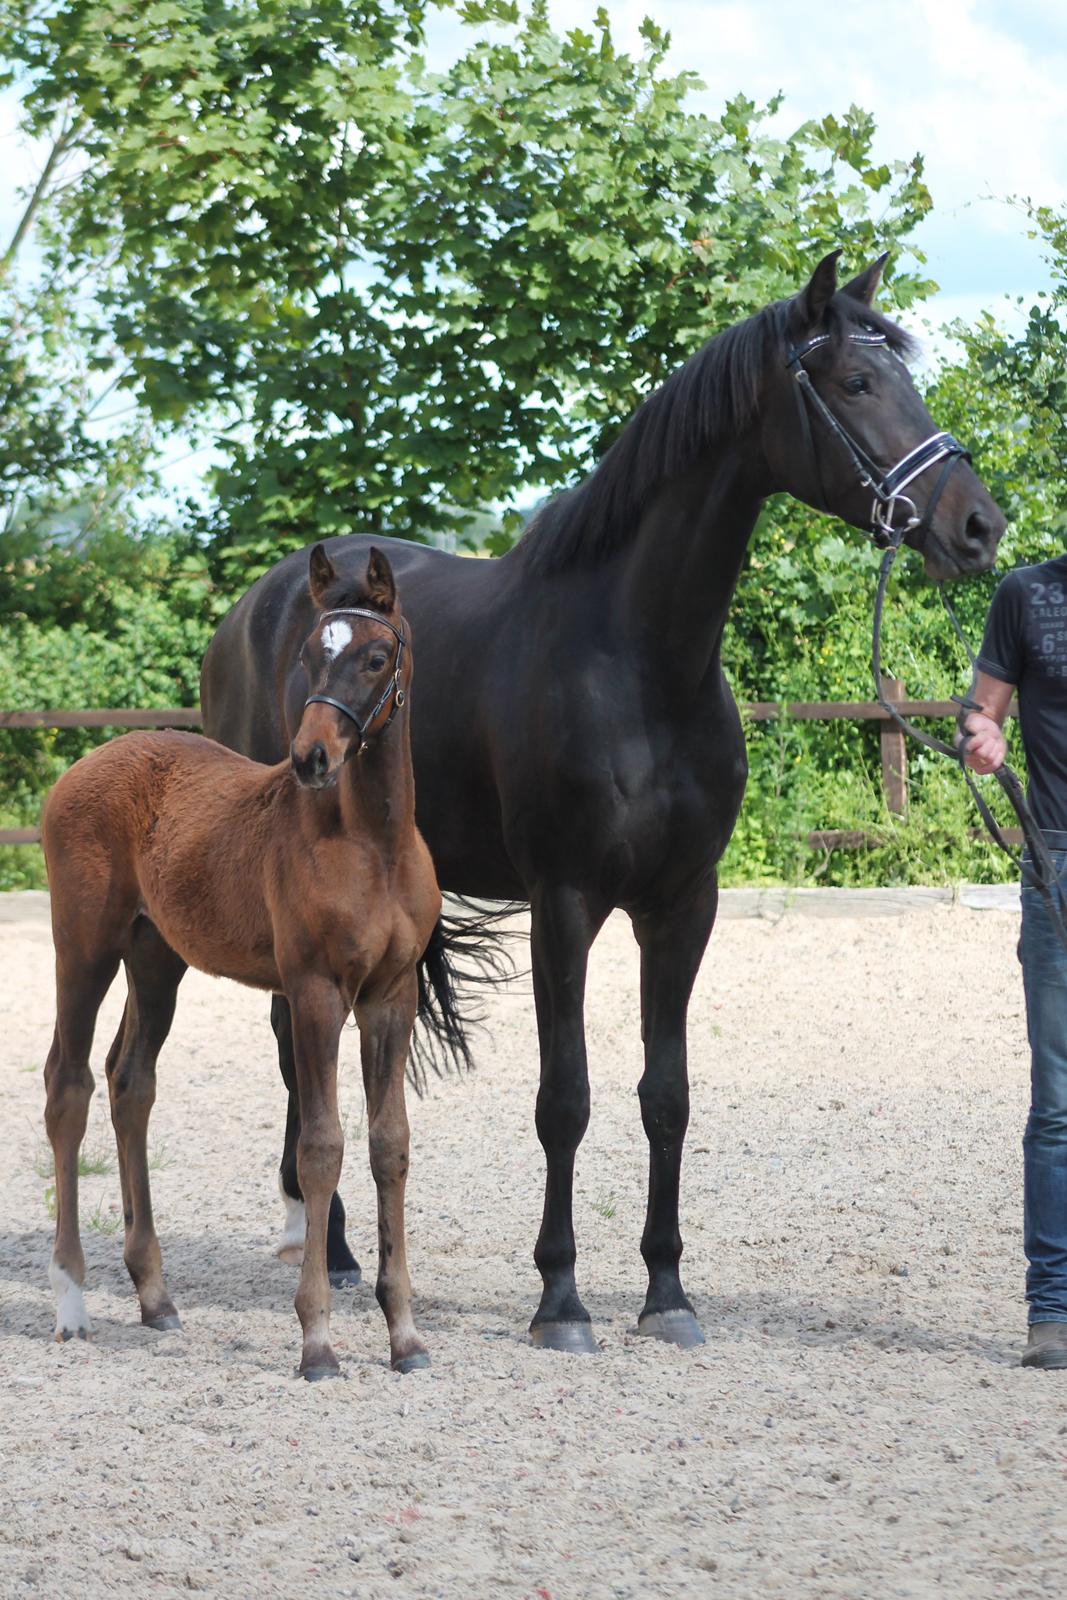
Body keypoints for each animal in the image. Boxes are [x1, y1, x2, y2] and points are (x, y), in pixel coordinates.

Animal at [39, 547, 435, 1376]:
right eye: (309, 652)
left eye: (374, 657)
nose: (311, 757)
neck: (373, 844)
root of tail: (89, 762)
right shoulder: (315, 991)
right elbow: (320, 1147)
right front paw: (316, 1340)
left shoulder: (392, 996)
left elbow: (390, 1146)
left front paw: (405, 1336)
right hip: (84, 945)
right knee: (69, 1086)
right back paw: (72, 1302)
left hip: (155, 956)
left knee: (130, 1082)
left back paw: (156, 1297)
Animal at [198, 252, 1004, 1350]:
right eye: (853, 382)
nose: (977, 526)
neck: (636, 657)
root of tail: (257, 603)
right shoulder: (565, 902)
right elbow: (565, 1099)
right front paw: (560, 1299)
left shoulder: (683, 904)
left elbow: (665, 1096)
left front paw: (666, 1293)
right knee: (294, 1044)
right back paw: (333, 1249)